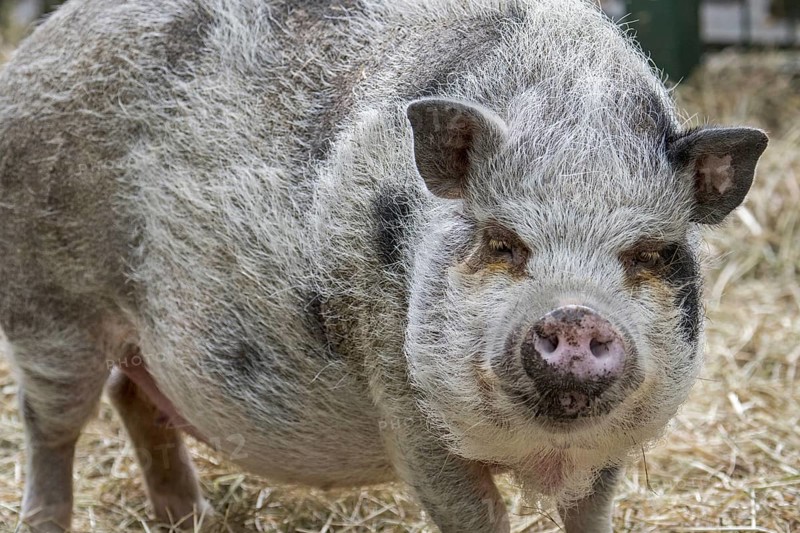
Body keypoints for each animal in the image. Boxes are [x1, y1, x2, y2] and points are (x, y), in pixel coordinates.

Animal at [0, 0, 767, 531]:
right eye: (502, 242)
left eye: (650, 253)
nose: (575, 315)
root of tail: (37, 49)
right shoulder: (404, 401)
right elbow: (475, 513)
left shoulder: (615, 444)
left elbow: (588, 512)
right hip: (50, 305)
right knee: (51, 422)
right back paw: (47, 521)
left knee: (133, 395)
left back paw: (190, 518)